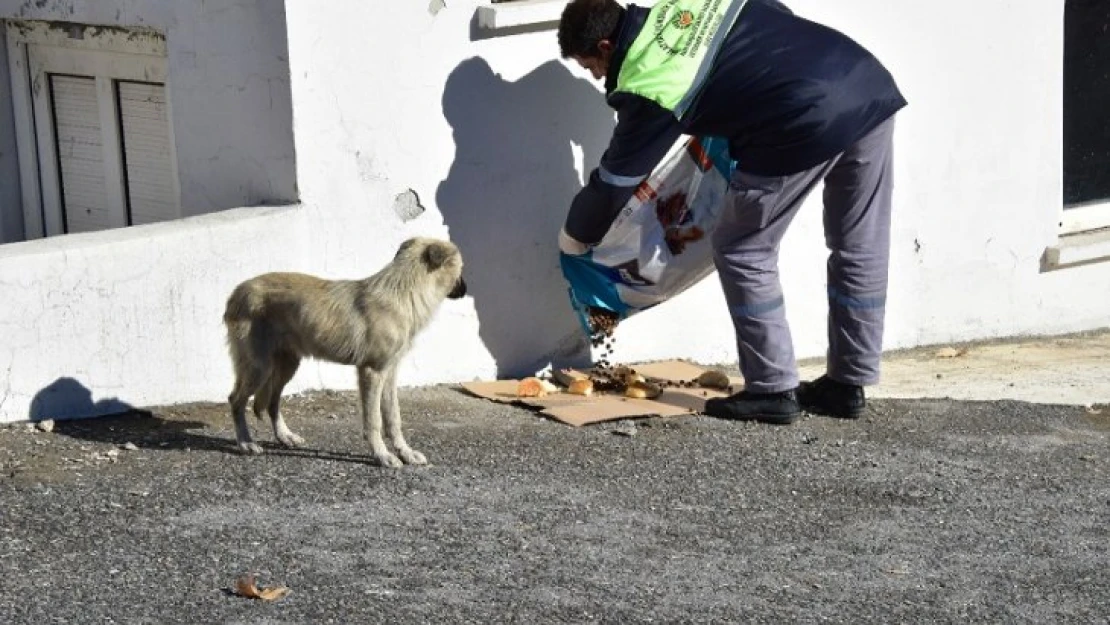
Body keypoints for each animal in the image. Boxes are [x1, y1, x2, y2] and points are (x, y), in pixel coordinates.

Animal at [223, 237, 466, 466]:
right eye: (461, 267)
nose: (466, 290)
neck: (405, 290)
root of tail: (236, 292)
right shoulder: (371, 372)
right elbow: (374, 421)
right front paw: (382, 455)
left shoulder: (389, 373)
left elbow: (393, 418)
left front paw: (405, 452)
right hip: (259, 367)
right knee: (236, 400)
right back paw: (245, 442)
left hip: (287, 365)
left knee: (272, 403)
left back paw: (285, 436)